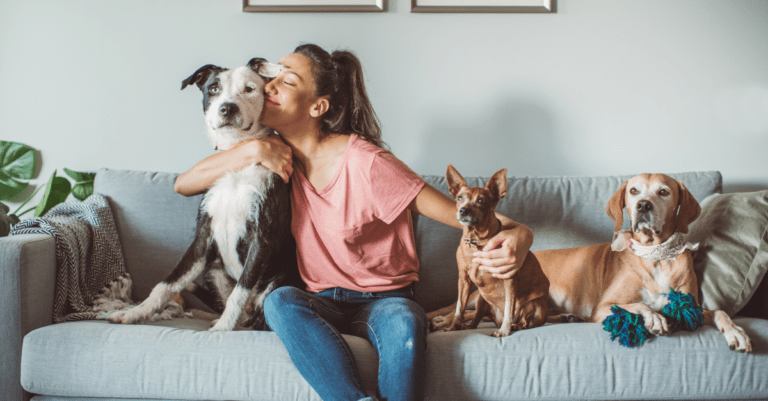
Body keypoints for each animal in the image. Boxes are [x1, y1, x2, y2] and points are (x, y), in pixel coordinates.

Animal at [109, 57, 302, 330]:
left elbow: (240, 291)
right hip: (214, 270)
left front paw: (223, 329)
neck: (236, 158)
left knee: (257, 317)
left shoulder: (262, 237)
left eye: (250, 89)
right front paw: (136, 312)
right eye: (213, 89)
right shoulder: (202, 236)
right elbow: (167, 283)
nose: (227, 108)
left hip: (277, 281)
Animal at [428, 164, 548, 336]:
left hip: (534, 305)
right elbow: (459, 309)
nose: (463, 210)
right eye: (459, 198)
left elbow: (509, 307)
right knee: (475, 319)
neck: (476, 241)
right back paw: (465, 326)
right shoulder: (463, 280)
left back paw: (514, 326)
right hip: (481, 299)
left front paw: (504, 331)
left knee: (525, 322)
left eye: (481, 200)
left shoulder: (509, 279)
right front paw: (452, 328)